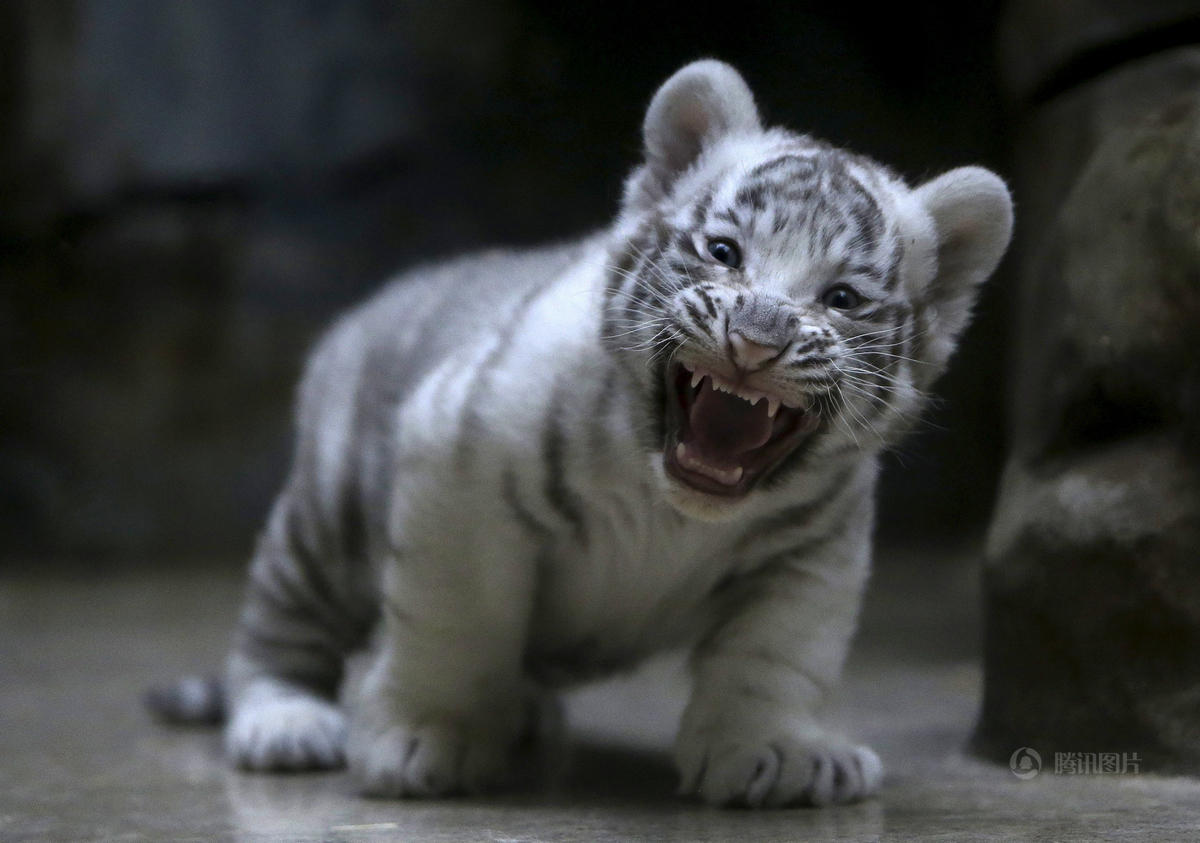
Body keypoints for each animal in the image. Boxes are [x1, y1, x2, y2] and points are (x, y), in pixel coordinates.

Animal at [149, 59, 1012, 808]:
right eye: (724, 252)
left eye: (841, 298)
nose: (758, 338)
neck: (672, 508)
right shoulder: (457, 467)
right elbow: (457, 621)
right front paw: (427, 737)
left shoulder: (815, 549)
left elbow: (777, 654)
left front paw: (778, 753)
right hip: (324, 522)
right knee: (276, 629)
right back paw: (288, 721)